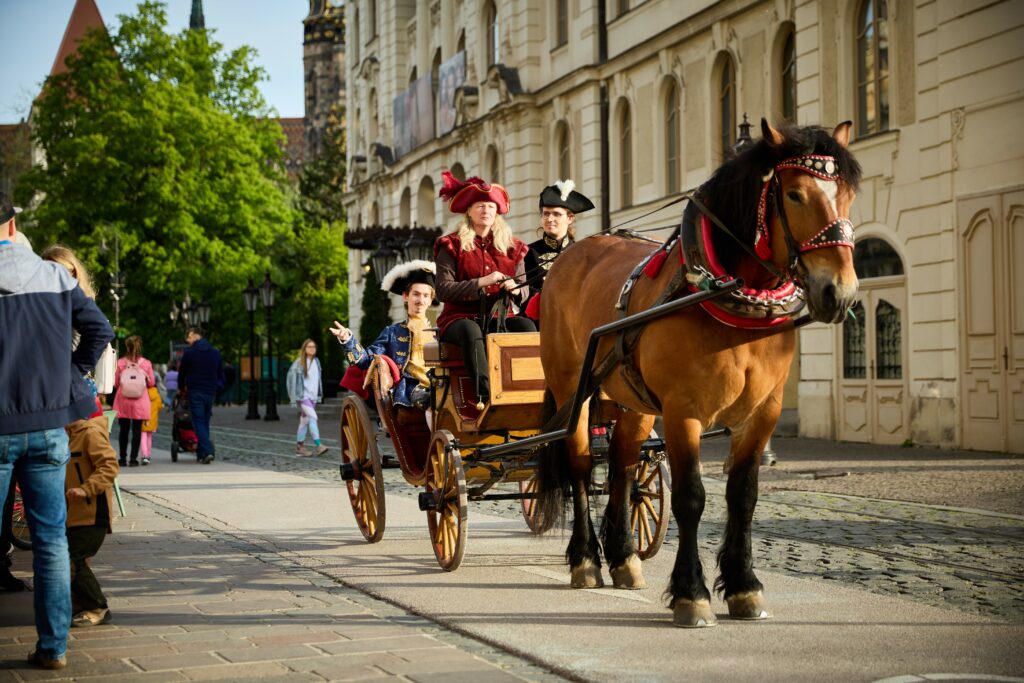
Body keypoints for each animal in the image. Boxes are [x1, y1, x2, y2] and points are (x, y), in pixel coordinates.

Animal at [536, 121, 864, 630]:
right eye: (794, 194)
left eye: (846, 194)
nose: (840, 292)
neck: (724, 295)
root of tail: (574, 251)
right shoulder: (682, 411)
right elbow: (691, 498)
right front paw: (692, 594)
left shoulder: (763, 413)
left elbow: (743, 495)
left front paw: (745, 587)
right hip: (575, 389)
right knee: (580, 466)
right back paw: (586, 560)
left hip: (632, 401)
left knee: (623, 467)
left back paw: (624, 559)